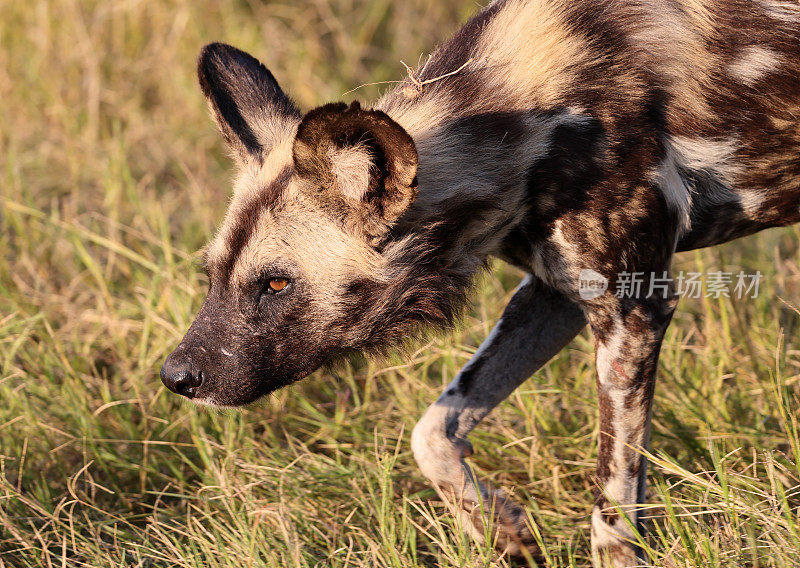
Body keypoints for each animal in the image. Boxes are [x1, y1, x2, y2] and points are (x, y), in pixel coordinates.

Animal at [161, 1, 800, 564]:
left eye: (274, 285)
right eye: (213, 275)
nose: (176, 377)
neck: (529, 120)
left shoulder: (632, 312)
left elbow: (612, 515)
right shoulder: (557, 298)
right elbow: (433, 432)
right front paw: (504, 531)